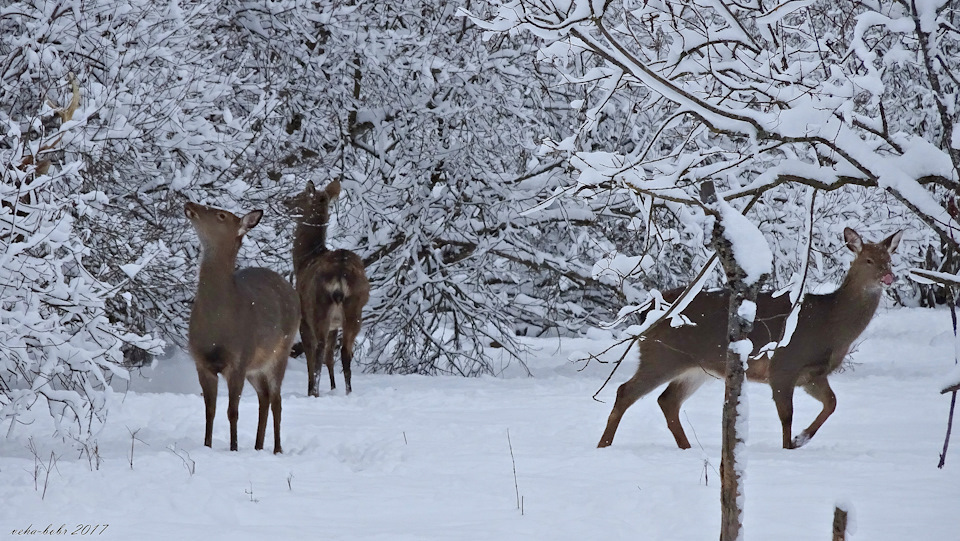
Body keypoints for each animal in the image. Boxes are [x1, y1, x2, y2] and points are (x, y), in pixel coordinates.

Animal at [182, 201, 298, 452]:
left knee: (276, 400)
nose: (189, 203)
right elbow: (210, 410)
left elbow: (232, 412)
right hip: (255, 366)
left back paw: (277, 449)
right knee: (264, 396)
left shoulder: (238, 359)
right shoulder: (201, 362)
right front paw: (207, 446)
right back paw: (257, 446)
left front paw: (233, 448)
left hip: (280, 351)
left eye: (221, 215)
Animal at [284, 179, 370, 394]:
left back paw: (314, 392)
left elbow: (312, 354)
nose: (285, 201)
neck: (304, 260)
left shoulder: (304, 319)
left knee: (319, 350)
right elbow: (331, 355)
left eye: (300, 195)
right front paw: (332, 387)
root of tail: (340, 275)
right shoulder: (335, 324)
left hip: (318, 307)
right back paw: (348, 392)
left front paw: (312, 390)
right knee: (345, 352)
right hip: (355, 310)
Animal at [596, 226, 904, 450]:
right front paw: (789, 447)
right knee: (625, 391)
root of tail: (647, 311)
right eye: (868, 260)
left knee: (667, 401)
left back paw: (687, 448)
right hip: (661, 355)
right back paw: (604, 445)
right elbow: (786, 415)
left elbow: (832, 403)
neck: (829, 325)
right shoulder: (784, 363)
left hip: (695, 368)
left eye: (889, 259)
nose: (889, 276)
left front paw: (802, 438)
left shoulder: (812, 374)